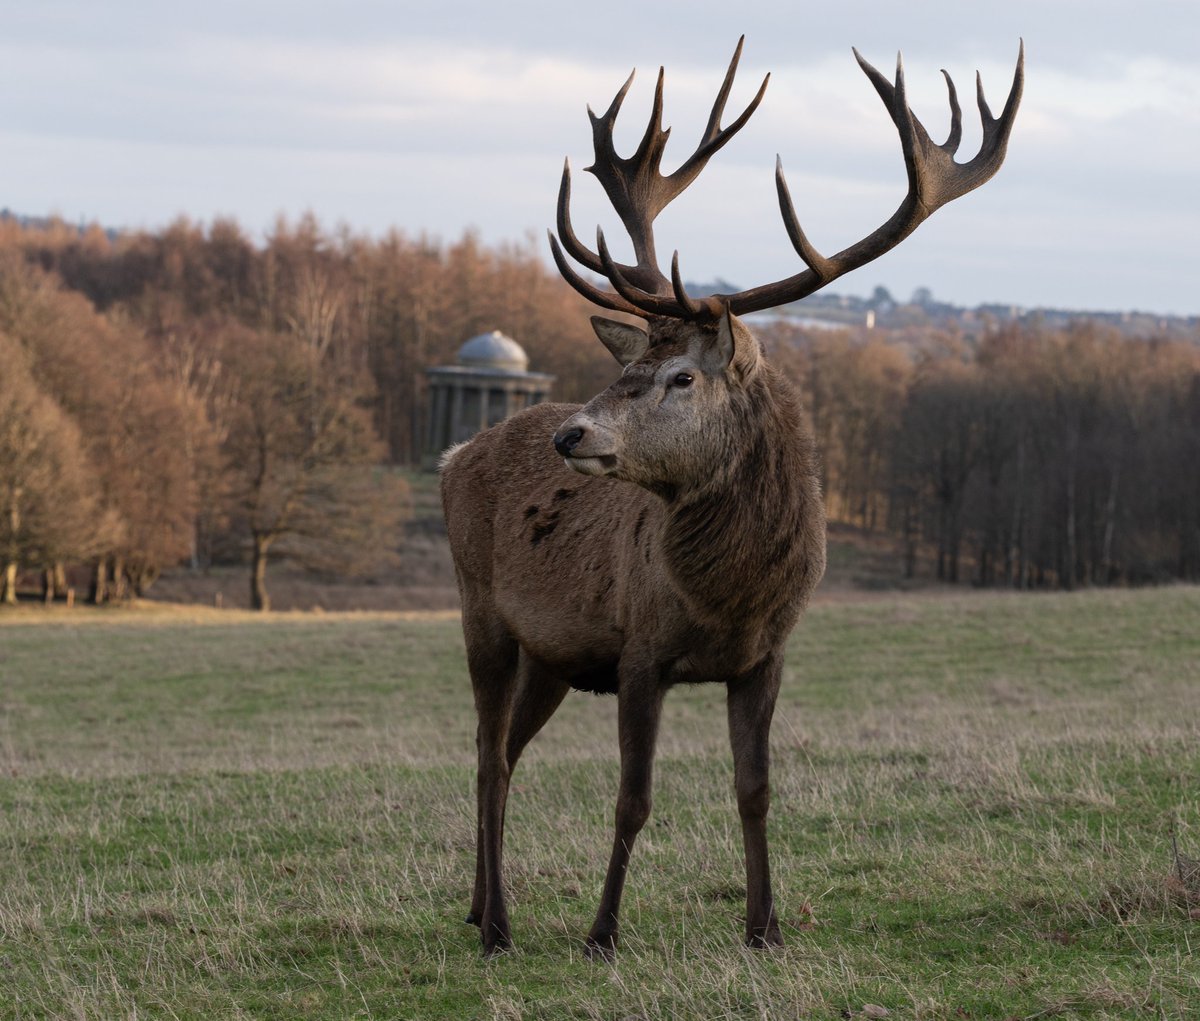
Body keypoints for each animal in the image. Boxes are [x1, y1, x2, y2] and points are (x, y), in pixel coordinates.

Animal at [440, 36, 1023, 957]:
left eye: (681, 375)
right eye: (629, 366)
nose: (571, 435)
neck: (729, 596)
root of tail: (455, 454)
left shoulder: (766, 657)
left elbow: (756, 789)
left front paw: (765, 926)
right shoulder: (640, 652)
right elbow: (633, 797)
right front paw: (602, 932)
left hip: (553, 655)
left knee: (501, 755)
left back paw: (477, 905)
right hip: (481, 610)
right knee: (490, 755)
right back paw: (497, 923)